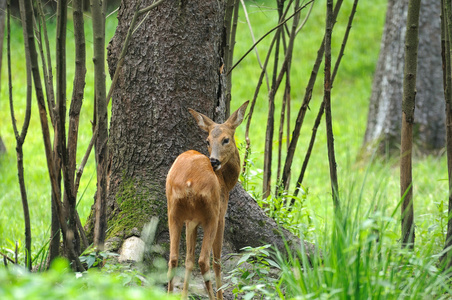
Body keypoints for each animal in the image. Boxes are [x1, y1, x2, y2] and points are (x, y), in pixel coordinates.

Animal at [167, 102, 249, 298]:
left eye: (226, 139)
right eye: (208, 141)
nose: (214, 161)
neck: (225, 181)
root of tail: (188, 181)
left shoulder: (191, 221)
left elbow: (188, 259)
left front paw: (184, 295)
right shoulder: (220, 215)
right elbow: (216, 261)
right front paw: (220, 295)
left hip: (173, 211)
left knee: (173, 258)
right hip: (211, 213)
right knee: (204, 260)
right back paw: (214, 296)